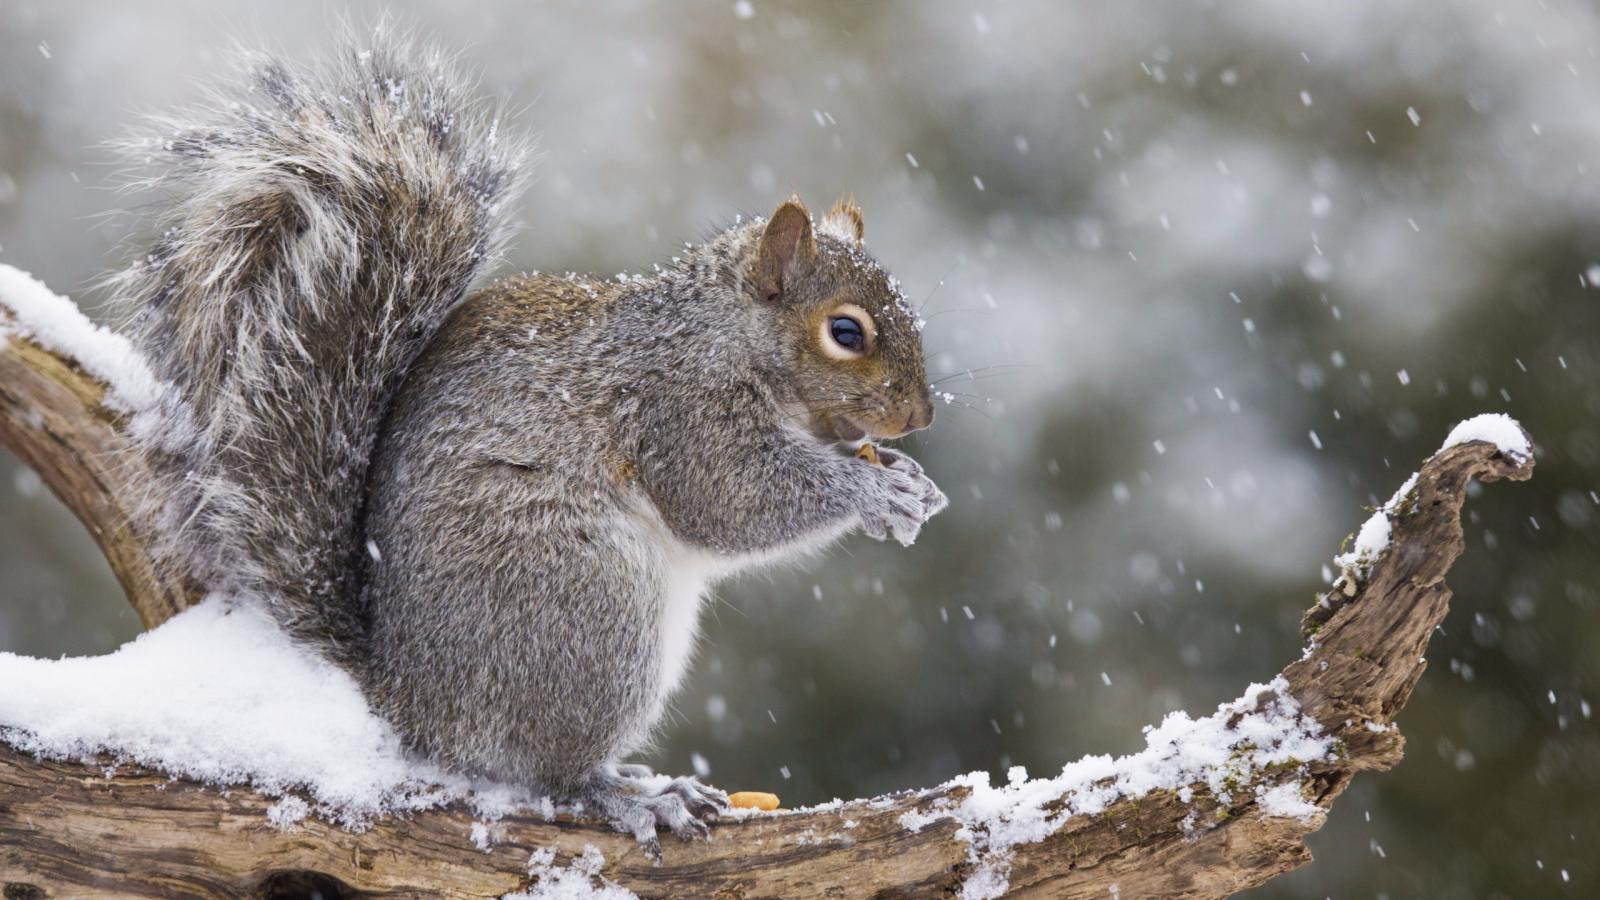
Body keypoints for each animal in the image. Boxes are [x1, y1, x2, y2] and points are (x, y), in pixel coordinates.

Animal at [111, 30, 946, 847]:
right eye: (846, 332)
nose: (920, 419)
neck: (724, 337)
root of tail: (410, 701)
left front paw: (910, 479)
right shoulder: (681, 413)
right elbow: (732, 502)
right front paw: (875, 489)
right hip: (588, 604)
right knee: (549, 771)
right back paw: (632, 796)